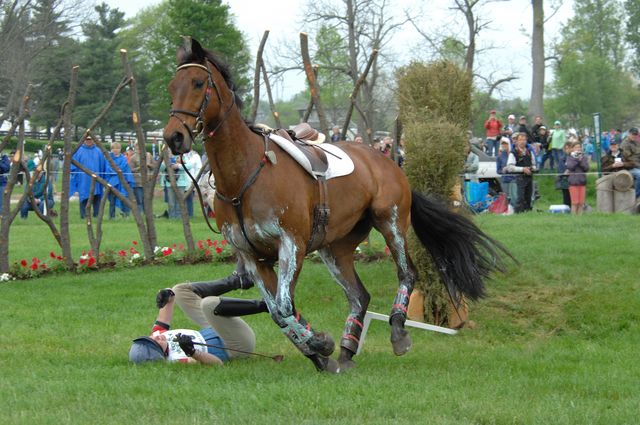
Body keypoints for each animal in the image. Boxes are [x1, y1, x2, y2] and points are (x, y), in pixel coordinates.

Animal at [165, 38, 510, 372]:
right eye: (171, 86)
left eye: (198, 83)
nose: (173, 137)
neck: (244, 176)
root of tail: (386, 158)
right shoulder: (252, 257)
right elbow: (278, 311)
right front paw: (319, 351)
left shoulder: (291, 243)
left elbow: (284, 307)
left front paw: (320, 345)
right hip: (336, 247)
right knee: (359, 296)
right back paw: (345, 351)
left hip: (391, 221)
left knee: (407, 272)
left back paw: (397, 332)